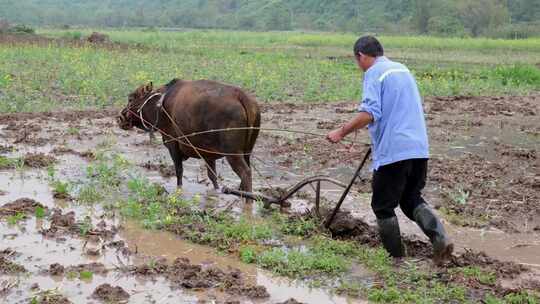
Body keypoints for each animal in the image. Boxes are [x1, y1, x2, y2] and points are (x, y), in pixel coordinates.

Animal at [117, 78, 260, 192]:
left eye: (130, 98)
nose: (119, 118)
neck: (159, 106)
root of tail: (243, 97)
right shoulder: (208, 154)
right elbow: (212, 177)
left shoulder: (173, 144)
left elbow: (179, 173)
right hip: (247, 151)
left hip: (233, 153)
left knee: (246, 173)